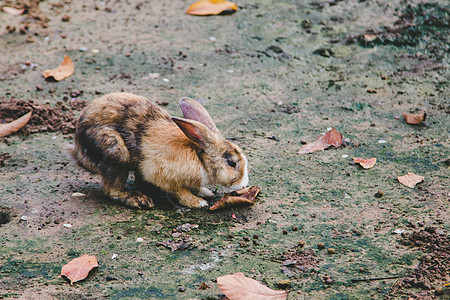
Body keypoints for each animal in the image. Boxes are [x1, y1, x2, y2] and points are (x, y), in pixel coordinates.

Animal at [68, 93, 248, 209]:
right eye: (231, 163)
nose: (244, 183)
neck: (199, 157)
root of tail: (78, 151)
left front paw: (205, 192)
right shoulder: (164, 177)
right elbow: (181, 192)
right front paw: (198, 202)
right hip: (115, 151)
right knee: (111, 190)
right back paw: (138, 199)